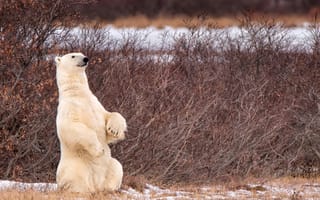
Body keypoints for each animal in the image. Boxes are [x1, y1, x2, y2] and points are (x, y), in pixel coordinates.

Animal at [55, 52, 126, 193]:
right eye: (73, 56)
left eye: (81, 54)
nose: (85, 59)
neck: (78, 94)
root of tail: (96, 185)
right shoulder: (68, 108)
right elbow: (71, 126)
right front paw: (99, 150)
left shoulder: (96, 105)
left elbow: (109, 116)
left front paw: (114, 130)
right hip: (75, 165)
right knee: (75, 177)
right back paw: (80, 190)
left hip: (108, 165)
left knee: (117, 166)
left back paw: (109, 189)